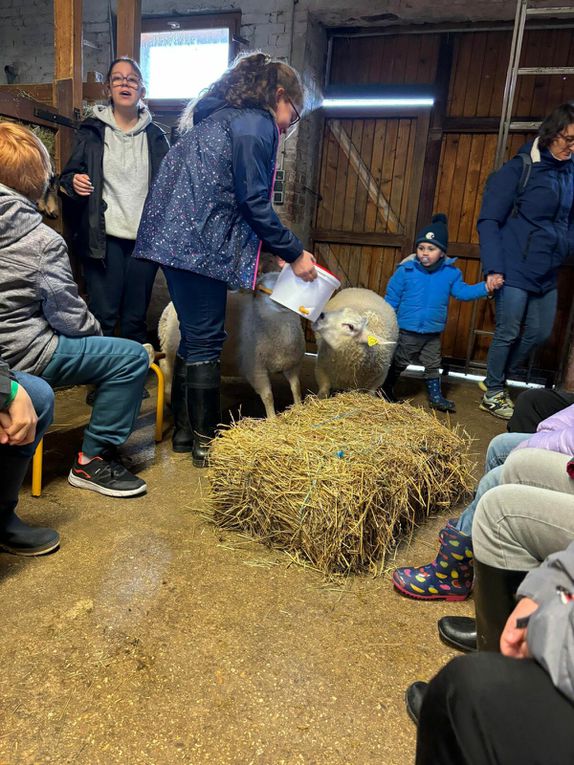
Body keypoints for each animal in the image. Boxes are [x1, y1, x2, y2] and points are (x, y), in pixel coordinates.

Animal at [159, 272, 306, 418]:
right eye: (261, 290)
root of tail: (169, 307)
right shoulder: (256, 370)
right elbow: (268, 396)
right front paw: (272, 418)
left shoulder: (293, 365)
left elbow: (296, 387)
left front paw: (299, 408)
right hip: (171, 348)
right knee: (166, 367)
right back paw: (168, 398)